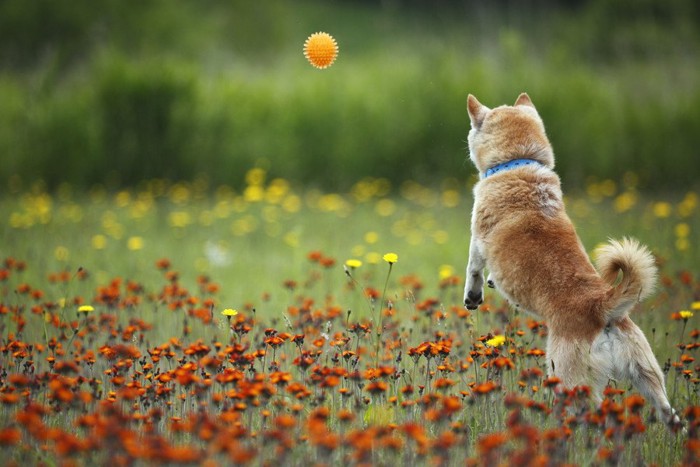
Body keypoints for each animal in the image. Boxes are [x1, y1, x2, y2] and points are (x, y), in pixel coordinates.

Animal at [462, 91, 680, 428]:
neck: (517, 163)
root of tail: (603, 307)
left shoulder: (477, 237)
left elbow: (472, 267)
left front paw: (474, 295)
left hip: (568, 377)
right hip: (647, 373)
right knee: (670, 415)